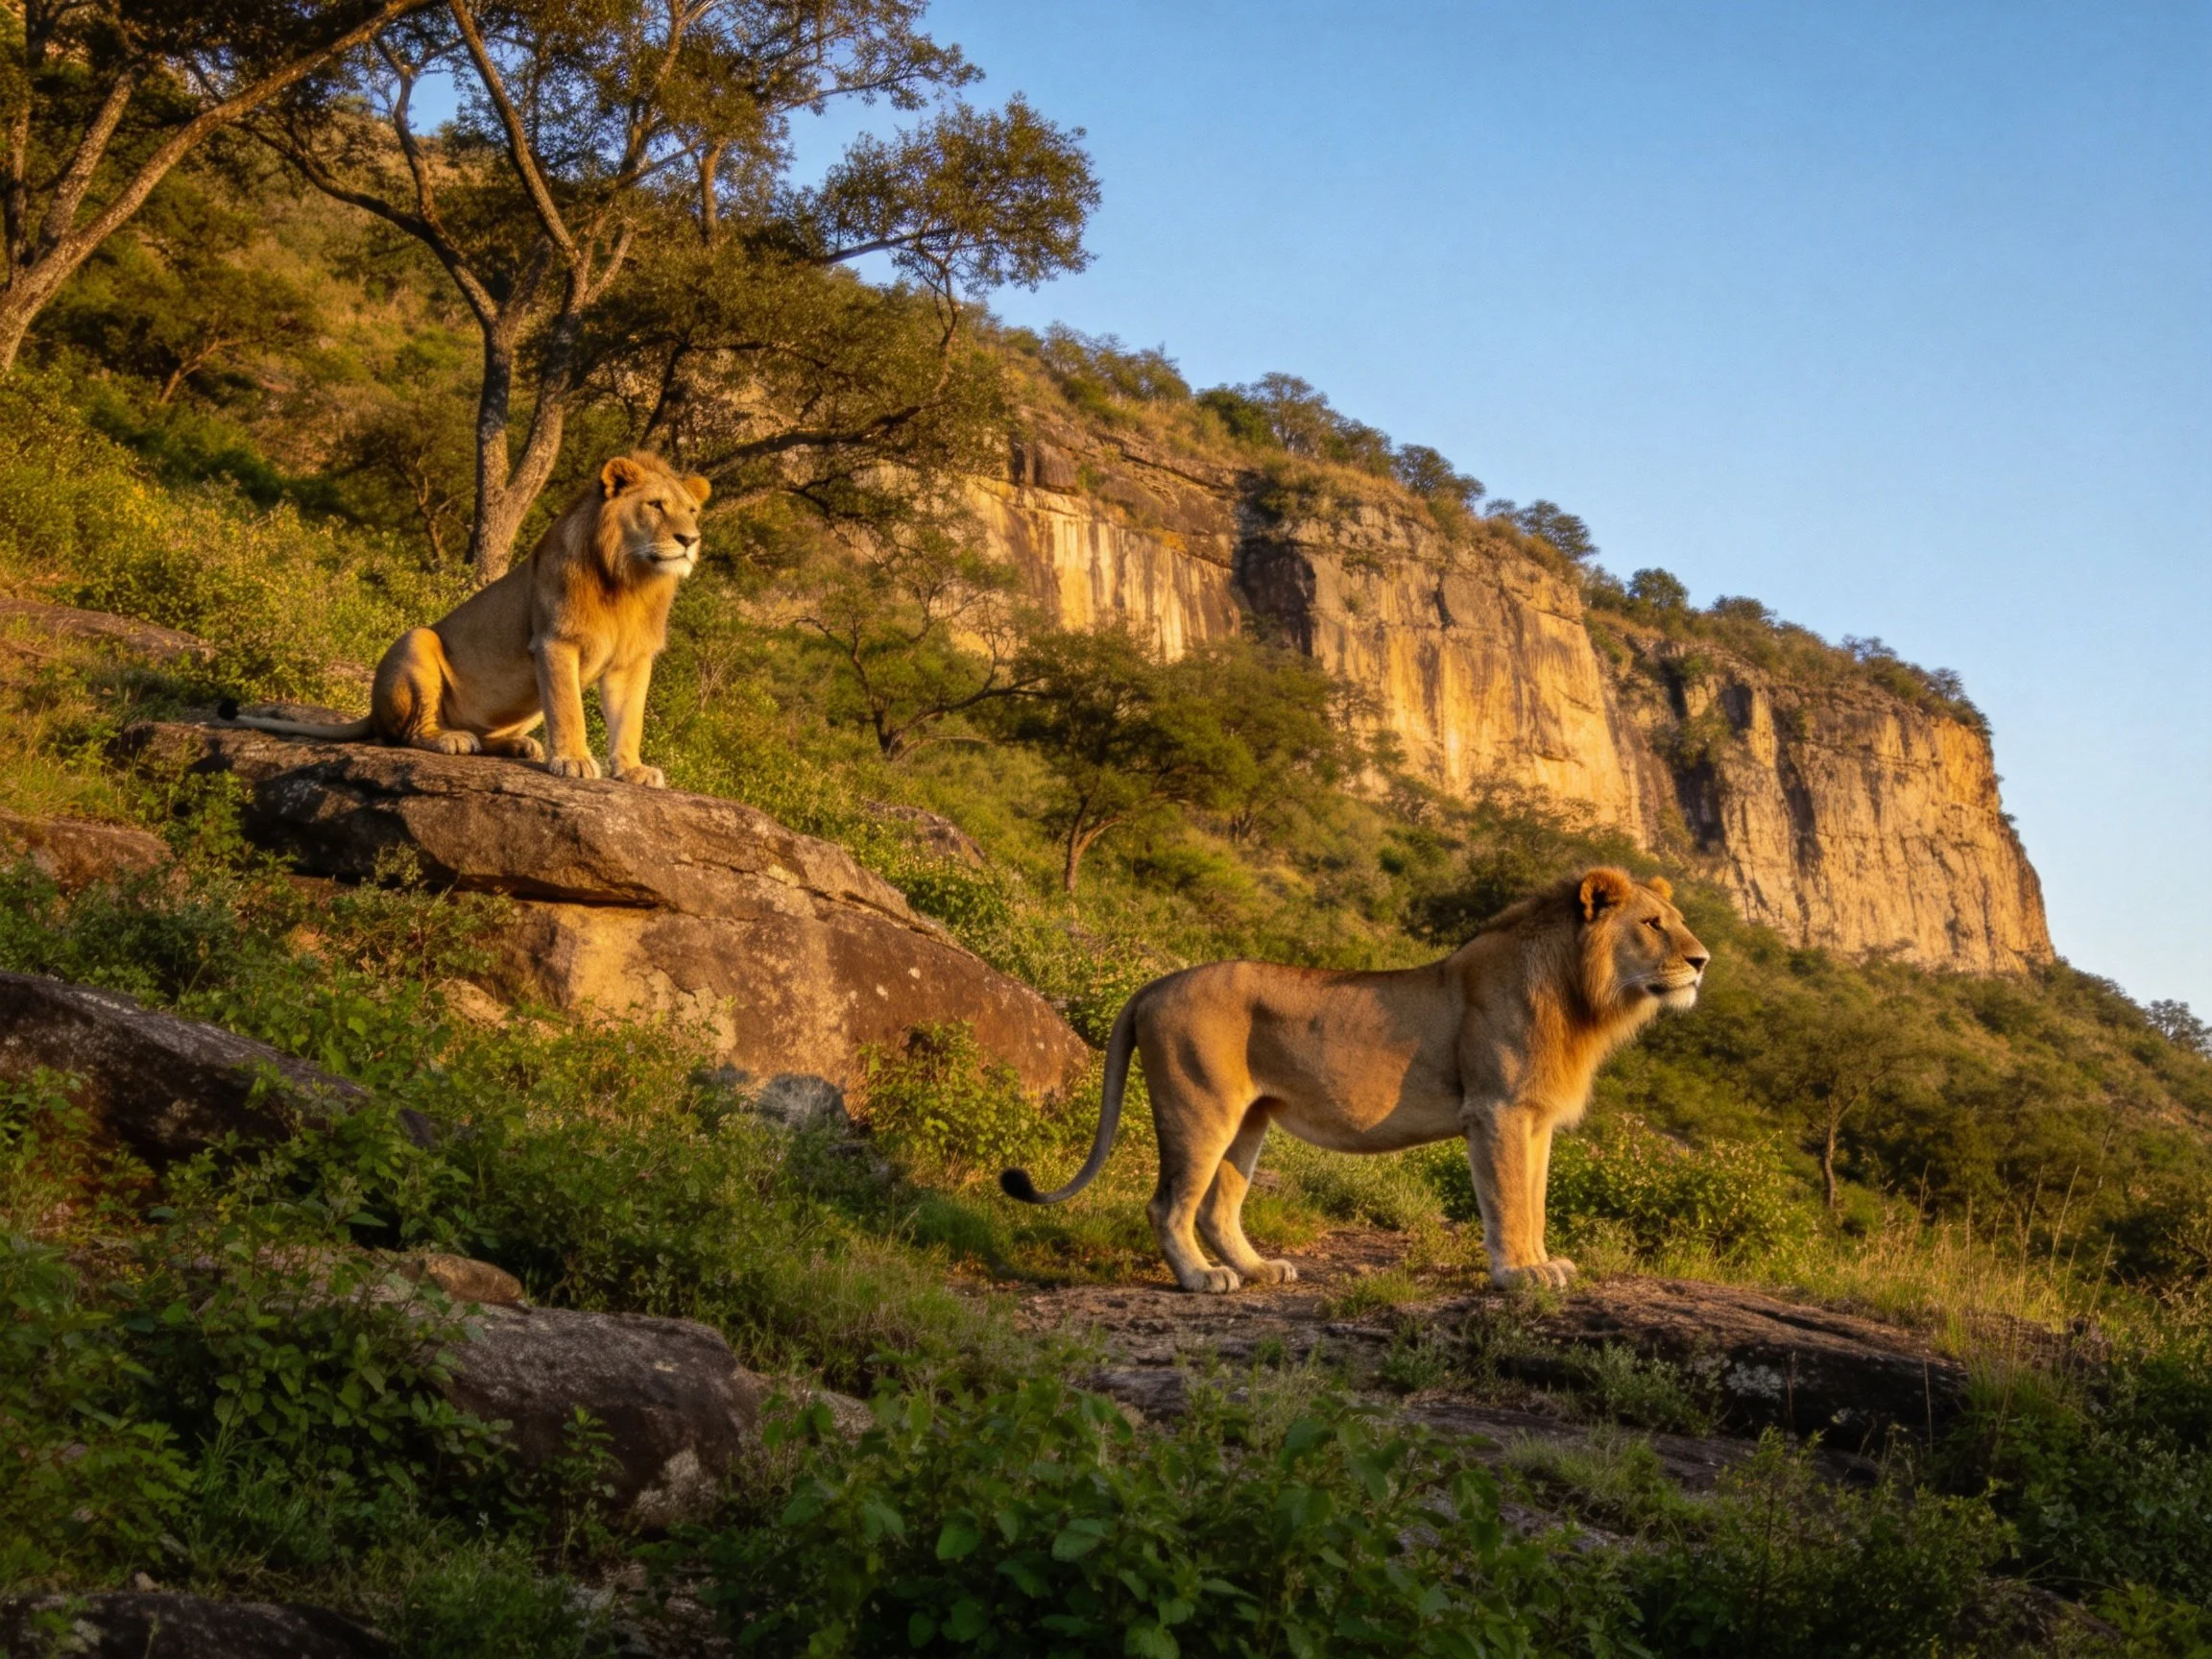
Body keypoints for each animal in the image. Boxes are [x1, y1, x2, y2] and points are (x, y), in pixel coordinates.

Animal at [222, 453, 710, 787]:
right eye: (656, 505)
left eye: (691, 511)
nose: (690, 540)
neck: (632, 582)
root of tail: (371, 712)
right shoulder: (554, 642)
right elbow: (569, 709)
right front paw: (572, 759)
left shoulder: (633, 660)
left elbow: (630, 719)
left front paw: (632, 769)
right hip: (417, 640)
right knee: (405, 733)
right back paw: (450, 739)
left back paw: (516, 745)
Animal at [1002, 867, 1708, 1293]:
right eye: (1653, 924)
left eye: (1676, 919)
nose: (1702, 961)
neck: (1581, 997)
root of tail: (1155, 983)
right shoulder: (1498, 1110)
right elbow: (1508, 1199)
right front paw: (1516, 1275)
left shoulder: (1533, 1118)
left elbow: (1531, 1199)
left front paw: (1541, 1264)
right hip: (1198, 1106)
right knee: (1168, 1204)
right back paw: (1203, 1280)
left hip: (1248, 1120)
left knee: (1215, 1207)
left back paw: (1260, 1269)